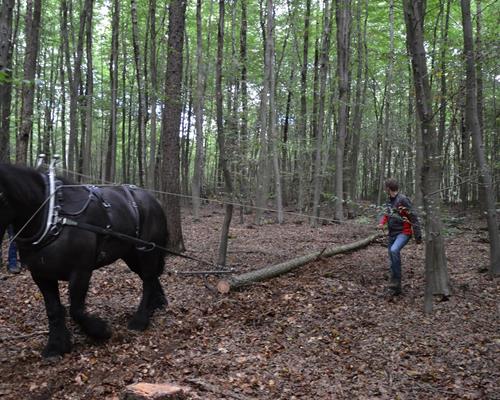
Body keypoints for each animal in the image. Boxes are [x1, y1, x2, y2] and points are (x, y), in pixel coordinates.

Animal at [0, 164, 168, 358]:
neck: (52, 216)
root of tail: (153, 200)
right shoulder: (41, 274)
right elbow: (53, 309)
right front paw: (56, 346)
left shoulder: (81, 271)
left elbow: (76, 310)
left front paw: (101, 331)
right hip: (130, 254)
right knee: (150, 276)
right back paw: (157, 304)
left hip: (147, 250)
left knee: (148, 278)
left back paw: (140, 320)